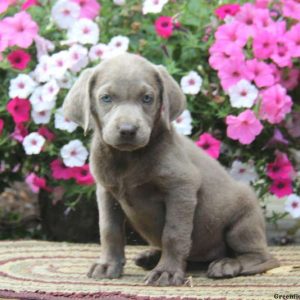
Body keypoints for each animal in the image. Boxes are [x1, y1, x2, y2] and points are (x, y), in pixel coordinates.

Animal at [62, 52, 278, 288]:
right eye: (106, 98)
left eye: (147, 98)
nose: (128, 130)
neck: (127, 158)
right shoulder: (106, 192)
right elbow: (109, 230)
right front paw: (108, 265)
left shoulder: (181, 189)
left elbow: (174, 234)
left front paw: (166, 272)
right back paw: (151, 256)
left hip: (243, 223)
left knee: (264, 258)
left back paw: (226, 264)